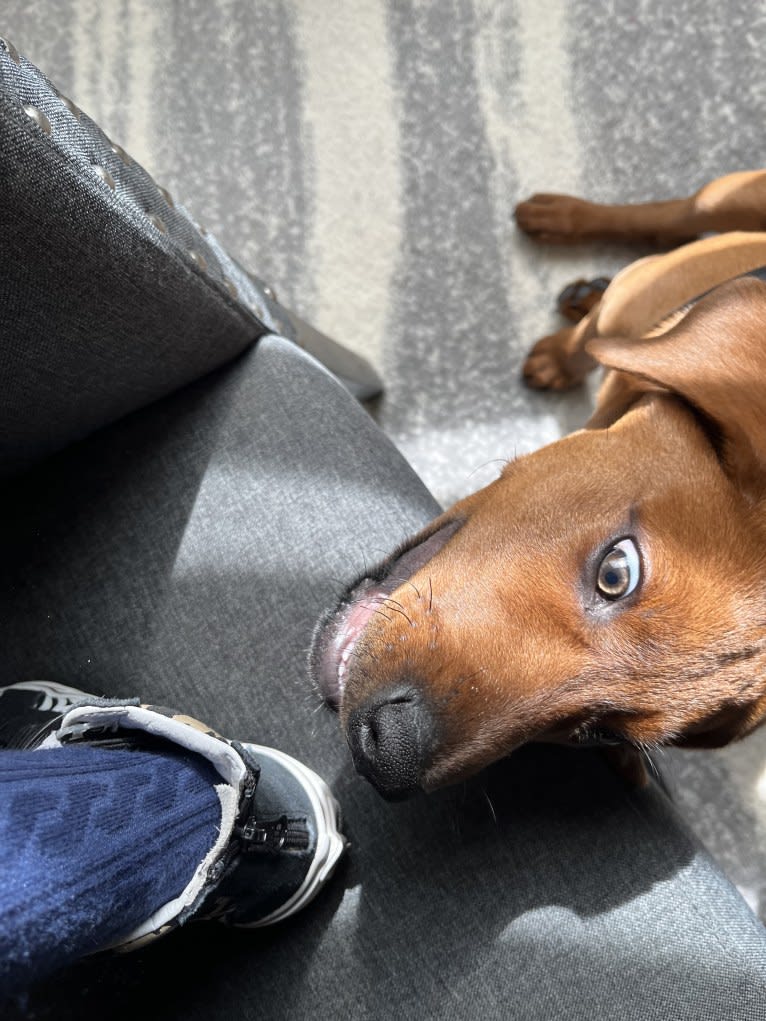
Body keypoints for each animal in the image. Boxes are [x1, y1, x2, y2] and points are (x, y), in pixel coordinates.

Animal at [312, 171, 766, 800]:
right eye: (617, 572)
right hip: (731, 194)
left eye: (602, 732)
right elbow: (588, 340)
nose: (385, 757)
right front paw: (559, 354)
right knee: (675, 214)